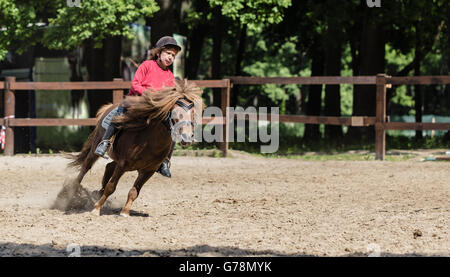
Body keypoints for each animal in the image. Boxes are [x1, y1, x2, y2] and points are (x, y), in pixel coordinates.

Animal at [66, 80, 204, 216]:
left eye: (193, 113)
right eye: (175, 113)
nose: (186, 137)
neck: (148, 141)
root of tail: (108, 108)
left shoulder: (148, 171)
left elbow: (134, 192)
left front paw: (125, 212)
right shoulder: (122, 165)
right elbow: (111, 187)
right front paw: (96, 208)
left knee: (109, 166)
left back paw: (97, 193)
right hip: (96, 148)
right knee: (85, 168)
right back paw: (70, 195)